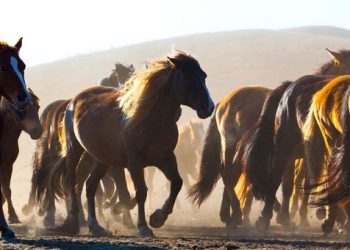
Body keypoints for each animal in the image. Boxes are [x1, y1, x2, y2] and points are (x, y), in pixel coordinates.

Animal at [0, 88, 41, 225]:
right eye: (20, 109)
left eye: (38, 107)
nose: (38, 131)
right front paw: (12, 215)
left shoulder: (8, 165)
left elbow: (6, 190)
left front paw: (12, 215)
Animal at [51, 52, 216, 236]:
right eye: (186, 76)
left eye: (203, 76)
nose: (209, 107)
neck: (151, 120)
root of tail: (73, 101)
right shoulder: (134, 163)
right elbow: (140, 191)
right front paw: (143, 227)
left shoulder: (165, 158)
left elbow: (177, 183)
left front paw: (158, 218)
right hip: (75, 149)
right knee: (71, 181)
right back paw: (73, 220)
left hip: (101, 159)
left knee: (90, 186)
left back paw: (96, 226)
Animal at [189, 48, 350, 232]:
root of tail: (224, 101)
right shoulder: (292, 155)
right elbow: (288, 185)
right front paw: (288, 218)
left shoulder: (300, 157)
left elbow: (297, 184)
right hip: (230, 145)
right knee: (228, 174)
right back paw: (238, 214)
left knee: (234, 175)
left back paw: (230, 216)